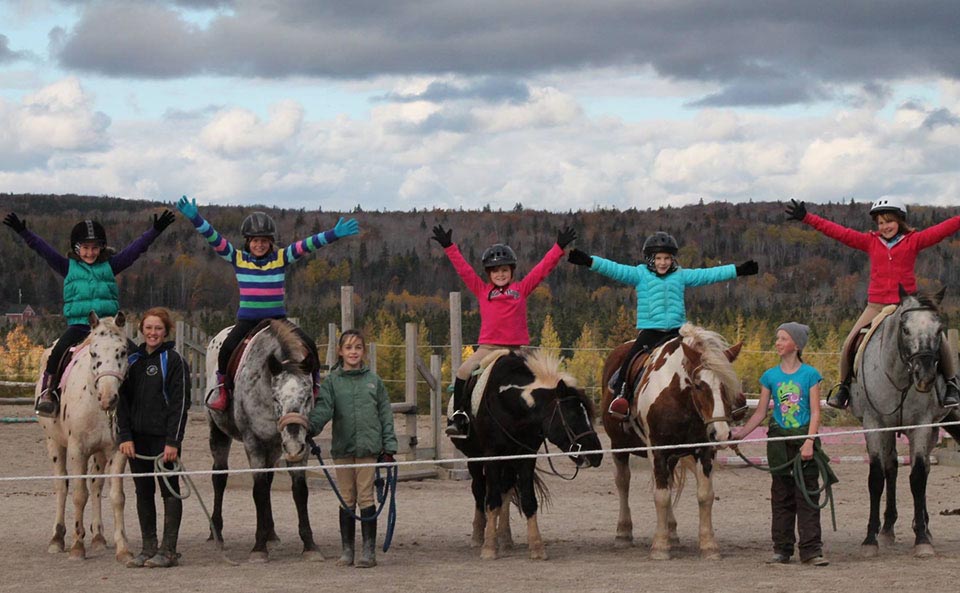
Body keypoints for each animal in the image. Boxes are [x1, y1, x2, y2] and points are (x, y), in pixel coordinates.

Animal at [38, 312, 132, 560]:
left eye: (122, 351)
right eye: (93, 353)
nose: (109, 398)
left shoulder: (118, 450)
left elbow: (117, 496)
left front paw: (123, 549)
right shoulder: (77, 450)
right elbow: (79, 495)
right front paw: (77, 547)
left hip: (99, 453)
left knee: (96, 486)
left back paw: (98, 537)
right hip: (54, 444)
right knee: (62, 486)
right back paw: (57, 538)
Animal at [206, 320, 322, 560]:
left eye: (307, 396)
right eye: (276, 398)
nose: (293, 445)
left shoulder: (300, 445)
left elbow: (299, 490)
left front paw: (309, 545)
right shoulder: (254, 442)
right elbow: (258, 489)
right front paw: (259, 548)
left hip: (276, 446)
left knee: (269, 481)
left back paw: (271, 533)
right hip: (219, 432)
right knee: (219, 477)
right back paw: (217, 532)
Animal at [448, 350, 600, 560]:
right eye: (572, 415)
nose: (596, 455)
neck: (509, 402)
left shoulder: (526, 456)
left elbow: (528, 500)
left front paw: (536, 547)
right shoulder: (492, 456)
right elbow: (491, 499)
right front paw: (489, 548)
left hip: (510, 462)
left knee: (505, 491)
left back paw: (505, 539)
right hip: (475, 459)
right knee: (479, 490)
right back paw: (478, 536)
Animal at [604, 324, 748, 560]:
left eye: (726, 385)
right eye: (698, 385)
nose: (720, 433)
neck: (679, 399)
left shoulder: (704, 451)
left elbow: (705, 495)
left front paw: (709, 546)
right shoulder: (658, 451)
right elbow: (661, 496)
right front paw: (660, 547)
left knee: (669, 481)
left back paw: (671, 532)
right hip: (619, 445)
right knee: (623, 482)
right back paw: (623, 532)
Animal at [852, 286, 956, 556]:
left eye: (939, 330)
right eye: (905, 329)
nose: (925, 376)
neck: (899, 376)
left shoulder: (922, 425)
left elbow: (918, 477)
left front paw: (922, 539)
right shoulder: (874, 424)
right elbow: (876, 477)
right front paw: (870, 540)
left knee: (924, 468)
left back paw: (924, 527)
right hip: (888, 429)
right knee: (891, 468)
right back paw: (887, 530)